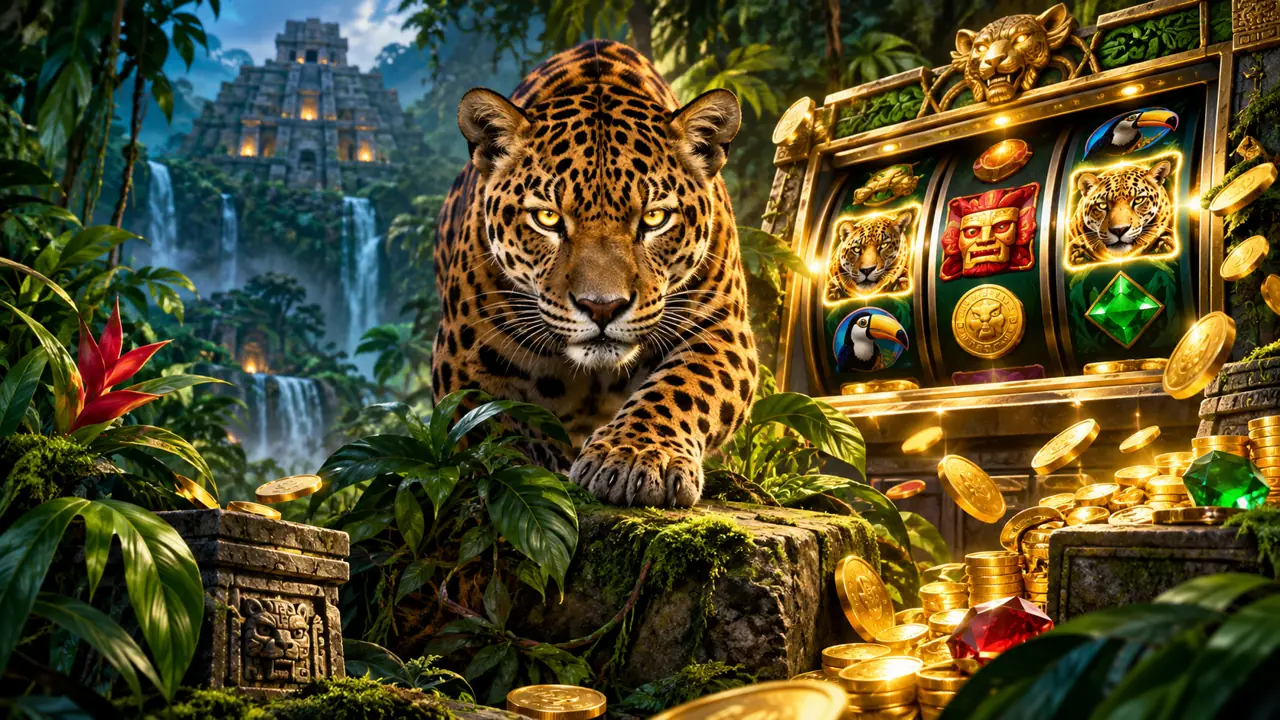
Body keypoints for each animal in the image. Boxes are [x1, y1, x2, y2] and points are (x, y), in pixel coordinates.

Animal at [431, 40, 758, 508]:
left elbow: (681, 388)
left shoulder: (721, 328)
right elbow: (494, 425)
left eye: (654, 218)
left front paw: (634, 457)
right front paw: (537, 463)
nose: (602, 308)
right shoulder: (462, 360)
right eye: (547, 218)